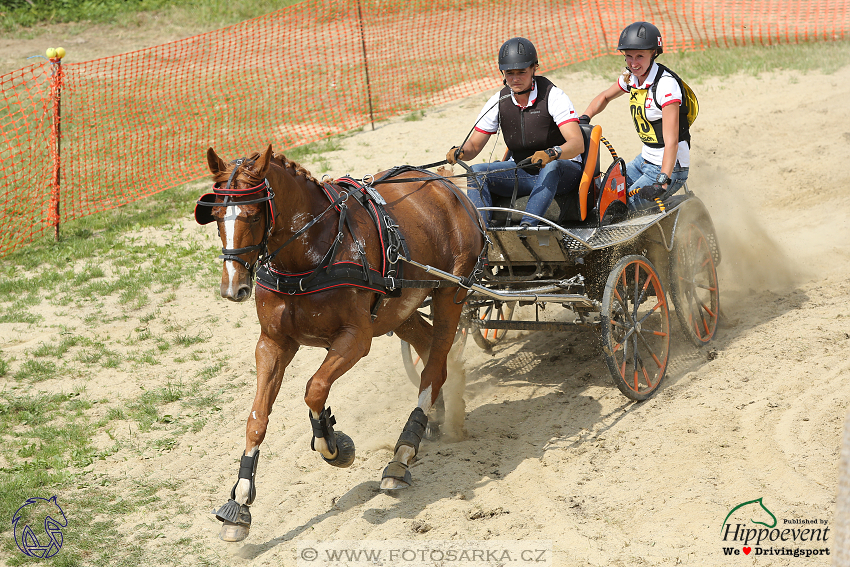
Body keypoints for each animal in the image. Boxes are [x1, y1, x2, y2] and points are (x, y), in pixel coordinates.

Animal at [194, 145, 484, 540]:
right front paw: (239, 502)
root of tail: (445, 183)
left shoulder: (355, 338)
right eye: (217, 215)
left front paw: (333, 445)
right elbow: (257, 418)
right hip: (401, 309)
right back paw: (435, 420)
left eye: (253, 215)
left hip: (449, 295)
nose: (232, 287)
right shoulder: (272, 343)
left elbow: (315, 389)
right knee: (429, 352)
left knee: (434, 369)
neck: (310, 254)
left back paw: (402, 454)